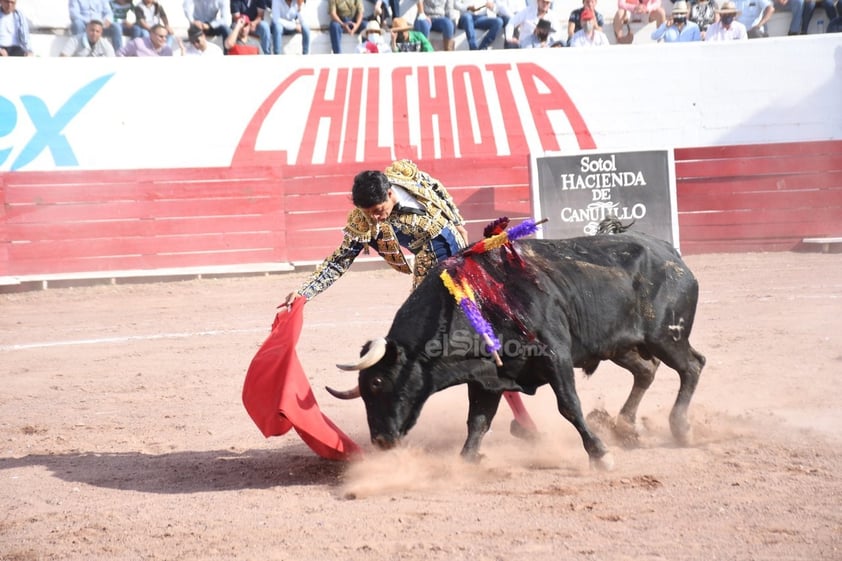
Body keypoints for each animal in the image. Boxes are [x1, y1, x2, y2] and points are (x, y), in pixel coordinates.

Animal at [334, 232, 704, 468]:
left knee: (692, 366)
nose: (381, 440)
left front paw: (600, 454)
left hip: (666, 337)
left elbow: (569, 407)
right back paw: (625, 427)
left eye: (377, 383)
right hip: (619, 345)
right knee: (647, 370)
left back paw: (681, 428)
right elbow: (477, 421)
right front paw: (467, 461)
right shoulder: (487, 377)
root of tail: (669, 251)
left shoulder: (556, 358)